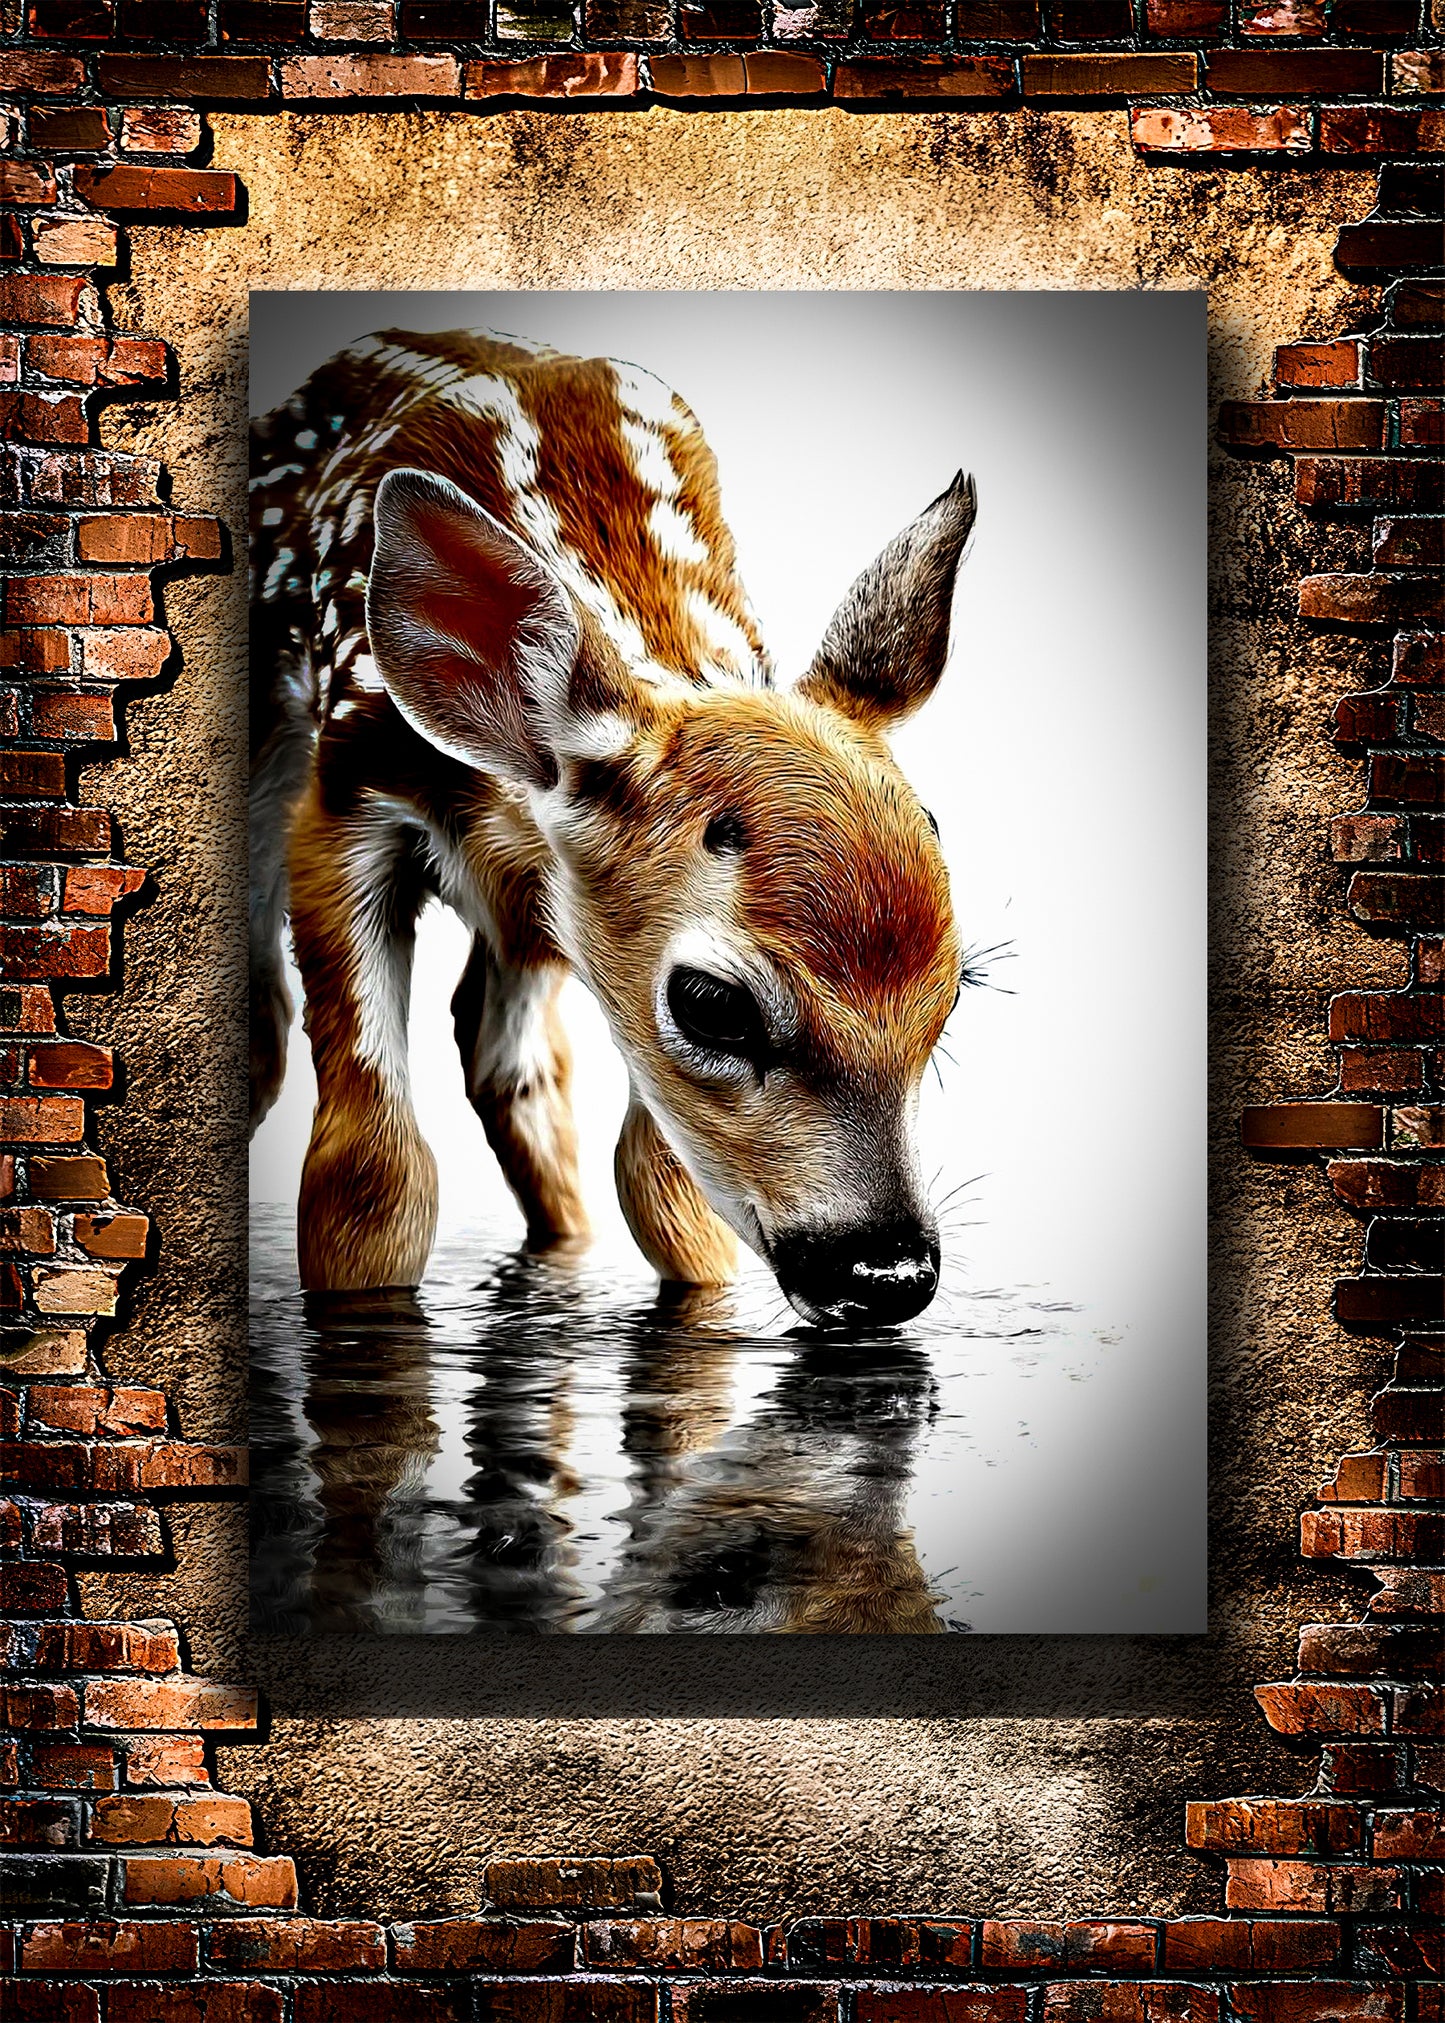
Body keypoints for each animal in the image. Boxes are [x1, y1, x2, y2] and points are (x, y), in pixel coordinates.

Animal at [250, 327, 975, 1334]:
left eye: (953, 993)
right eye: (713, 1004)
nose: (889, 1271)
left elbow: (665, 1193)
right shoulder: (348, 794)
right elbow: (369, 1181)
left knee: (505, 1060)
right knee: (274, 1032)